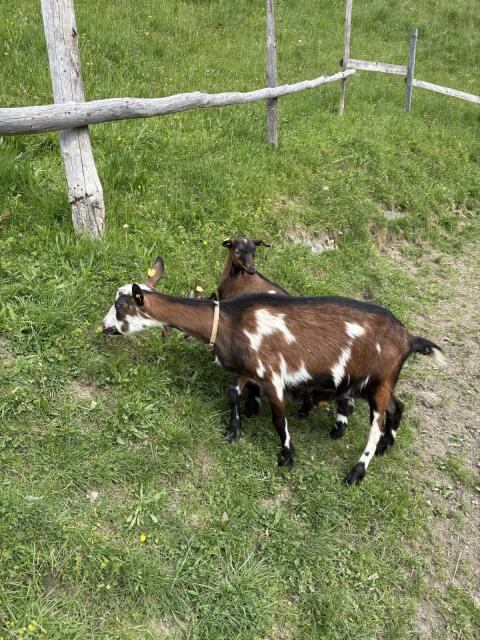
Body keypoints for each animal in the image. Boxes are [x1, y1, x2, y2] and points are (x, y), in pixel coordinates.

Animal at [102, 256, 446, 484]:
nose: (104, 326)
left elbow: (278, 419)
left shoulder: (272, 376)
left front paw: (287, 456)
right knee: (397, 406)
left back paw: (356, 472)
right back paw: (388, 444)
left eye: (120, 307)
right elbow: (233, 394)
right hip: (376, 382)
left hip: (377, 382)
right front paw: (234, 430)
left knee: (376, 424)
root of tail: (408, 338)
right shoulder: (244, 371)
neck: (229, 322)